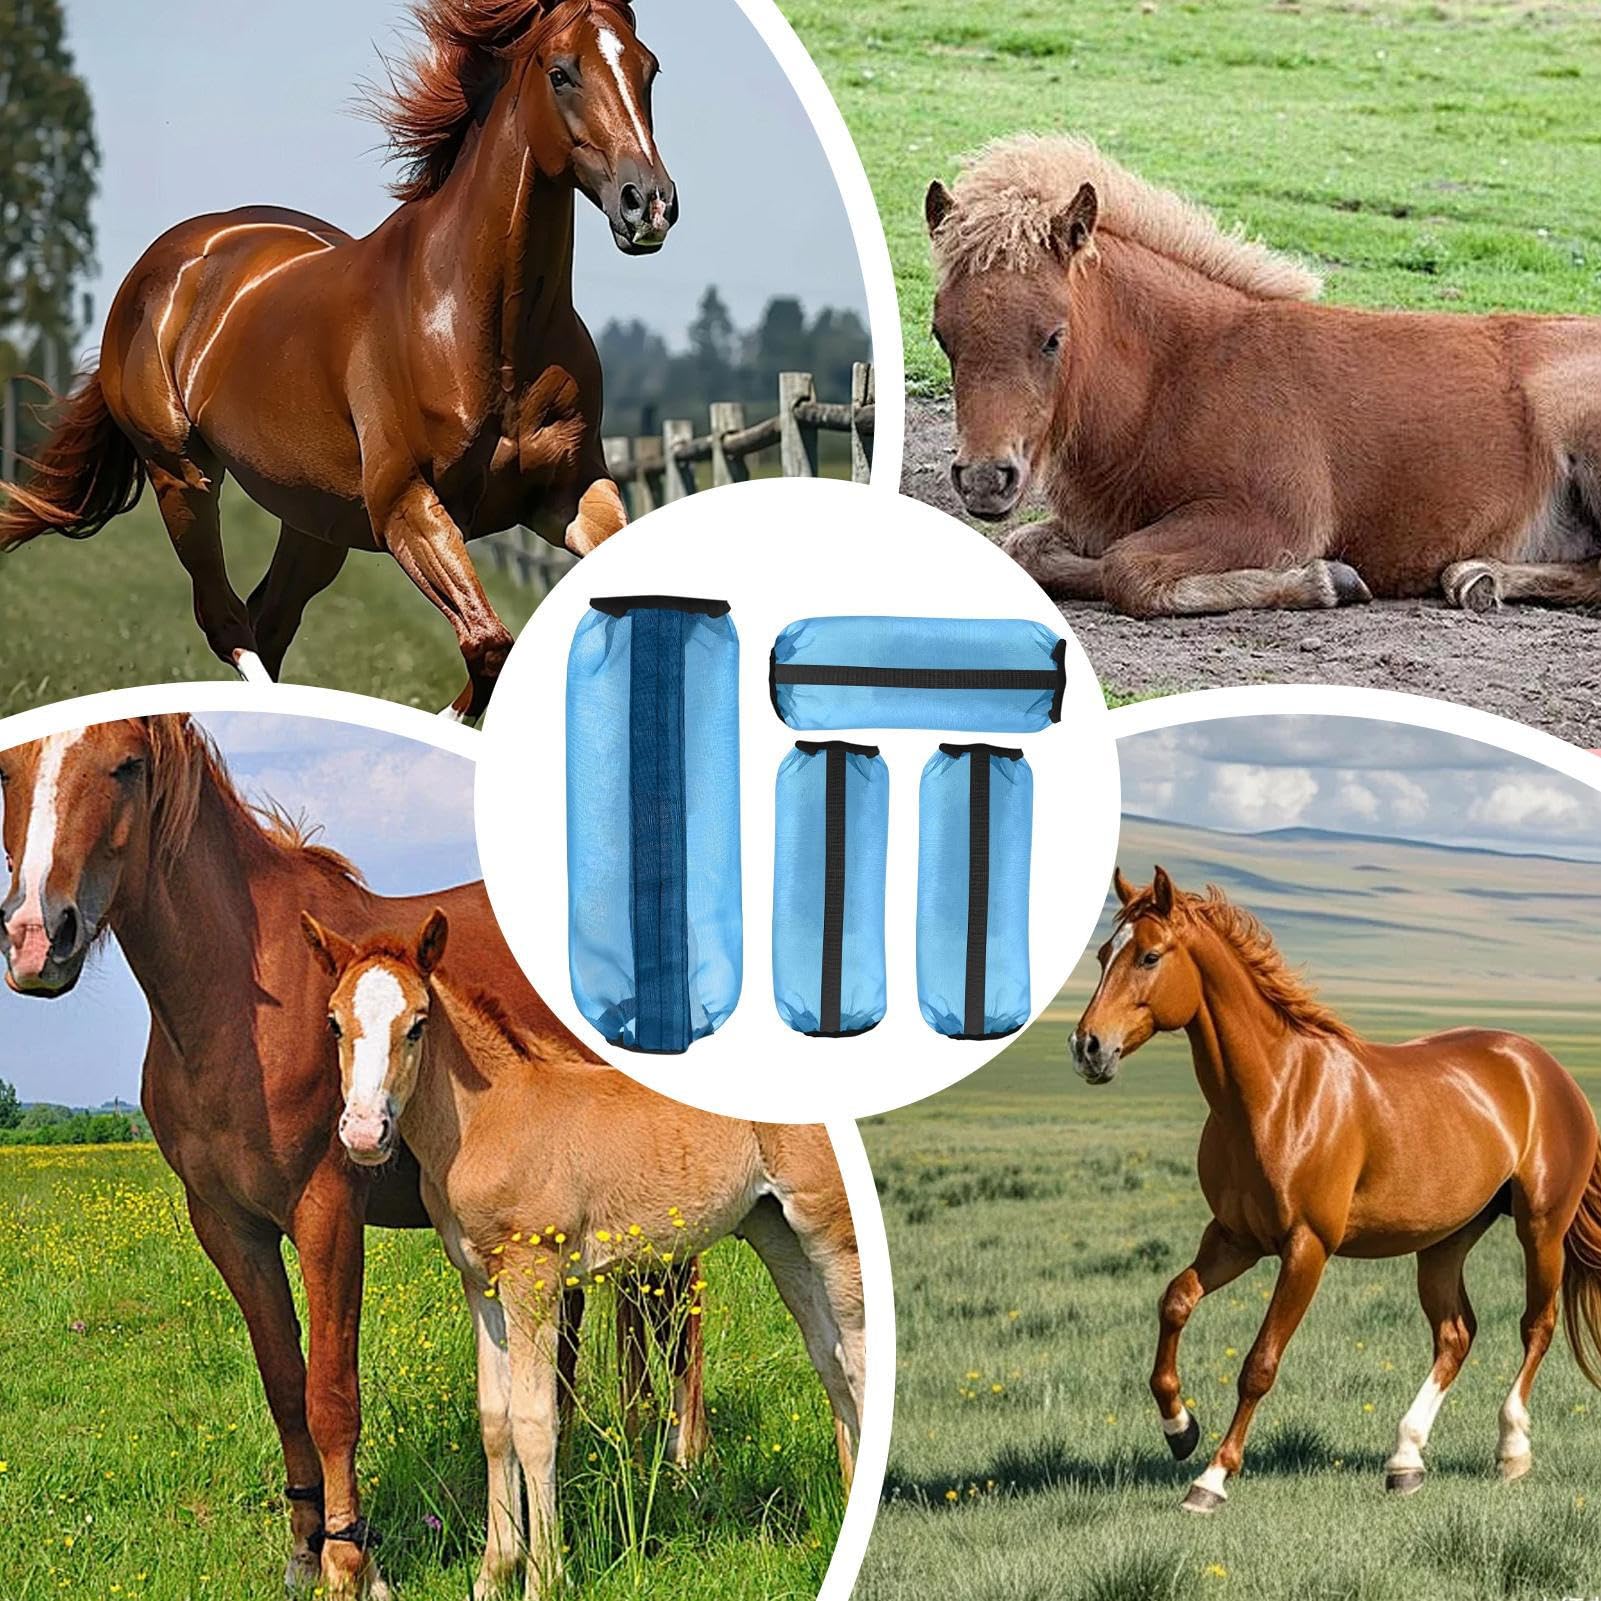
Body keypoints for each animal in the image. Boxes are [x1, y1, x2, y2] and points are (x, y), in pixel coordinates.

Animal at [0, 0, 675, 719]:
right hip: (181, 476)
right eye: (560, 73)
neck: (488, 333)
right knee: (226, 620)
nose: (649, 203)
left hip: (315, 521)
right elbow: (490, 644)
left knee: (268, 618)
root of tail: (167, 262)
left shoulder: (571, 492)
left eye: (648, 69)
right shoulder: (405, 507)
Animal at [0, 714, 705, 1597]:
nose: (37, 938)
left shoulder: (327, 1209)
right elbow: (284, 1384)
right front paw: (305, 1546)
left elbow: (331, 1391)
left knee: (679, 1311)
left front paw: (350, 1560)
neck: (243, 1000)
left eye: (126, 764)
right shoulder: (229, 1226)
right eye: (6, 769)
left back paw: (680, 1461)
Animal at [300, 909, 866, 1599]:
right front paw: (493, 1574)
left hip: (830, 1229)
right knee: (829, 1356)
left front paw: (543, 1578)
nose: (364, 1133)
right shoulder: (480, 1283)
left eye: (418, 1023)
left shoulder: (534, 1278)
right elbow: (495, 1421)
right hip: (777, 1234)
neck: (490, 1117)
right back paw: (848, 1498)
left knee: (857, 1356)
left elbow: (535, 1423)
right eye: (334, 1021)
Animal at [924, 135, 1601, 621]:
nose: (984, 478)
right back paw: (1475, 576)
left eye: (1053, 337)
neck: (1177, 377)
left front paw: (1325, 580)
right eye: (942, 335)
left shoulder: (1272, 517)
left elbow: (1129, 571)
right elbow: (1027, 550)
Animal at [1070, 867, 1601, 1514]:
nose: (1088, 1047)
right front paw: (1179, 1428)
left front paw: (1212, 1478)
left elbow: (1259, 1364)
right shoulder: (1234, 1238)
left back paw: (1512, 1449)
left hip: (1540, 1226)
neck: (1275, 1095)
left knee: (1536, 1325)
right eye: (1103, 954)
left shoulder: (1306, 1248)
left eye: (1149, 956)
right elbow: (1174, 1301)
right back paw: (1405, 1459)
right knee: (1455, 1335)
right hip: (1446, 1239)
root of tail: (1545, 1069)